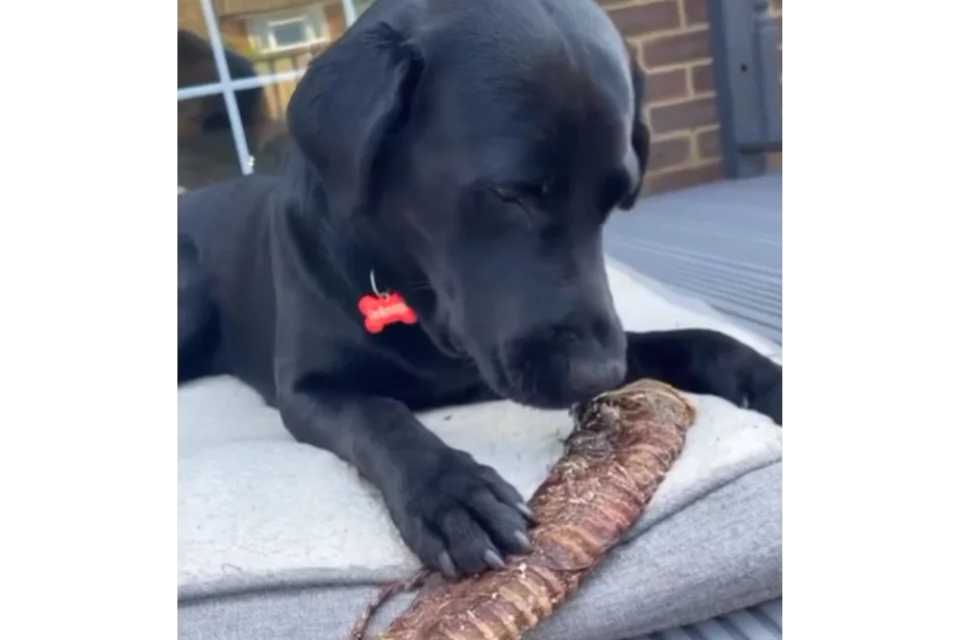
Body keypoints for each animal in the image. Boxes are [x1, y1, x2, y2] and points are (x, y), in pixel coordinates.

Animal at [176, 0, 784, 580]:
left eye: (617, 197)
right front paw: (453, 495)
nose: (600, 374)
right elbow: (379, 416)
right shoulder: (308, 389)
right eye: (510, 194)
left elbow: (698, 338)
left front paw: (766, 377)